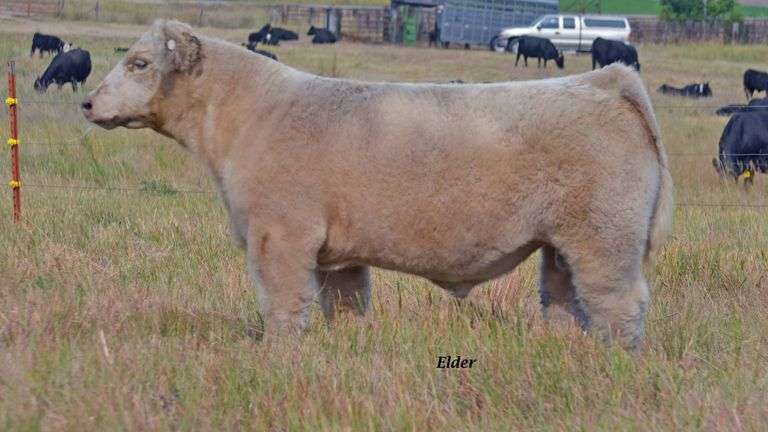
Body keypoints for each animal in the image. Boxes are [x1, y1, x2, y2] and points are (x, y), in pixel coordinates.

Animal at [81, 20, 672, 351]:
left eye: (139, 63)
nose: (87, 103)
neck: (254, 113)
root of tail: (605, 80)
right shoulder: (336, 257)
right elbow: (344, 306)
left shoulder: (279, 235)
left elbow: (282, 304)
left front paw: (277, 357)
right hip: (561, 247)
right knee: (565, 303)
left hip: (605, 240)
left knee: (619, 305)